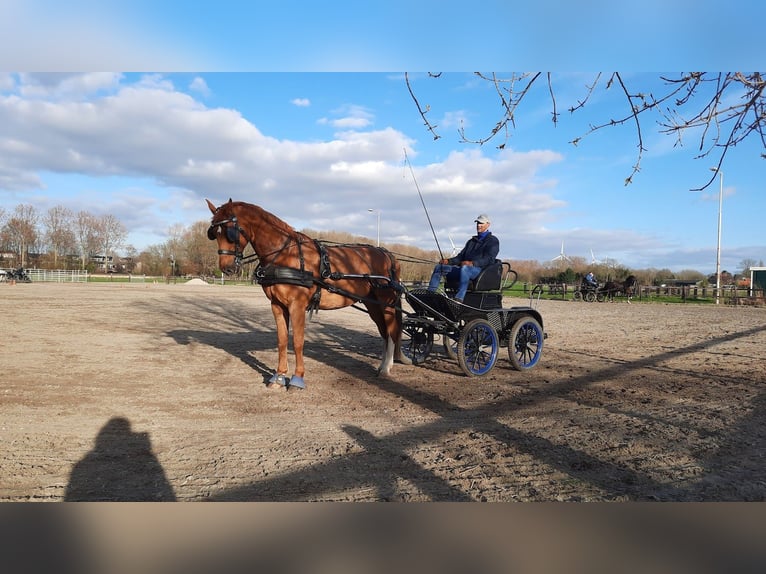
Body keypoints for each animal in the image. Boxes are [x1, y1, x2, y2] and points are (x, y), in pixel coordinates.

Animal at [207, 198, 412, 392]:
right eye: (214, 233)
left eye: (230, 232)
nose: (227, 268)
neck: (286, 254)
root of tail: (388, 255)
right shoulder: (277, 305)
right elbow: (282, 340)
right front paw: (279, 377)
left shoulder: (297, 305)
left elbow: (298, 341)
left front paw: (297, 379)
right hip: (373, 305)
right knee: (384, 333)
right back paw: (382, 365)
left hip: (386, 302)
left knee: (392, 331)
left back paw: (386, 368)